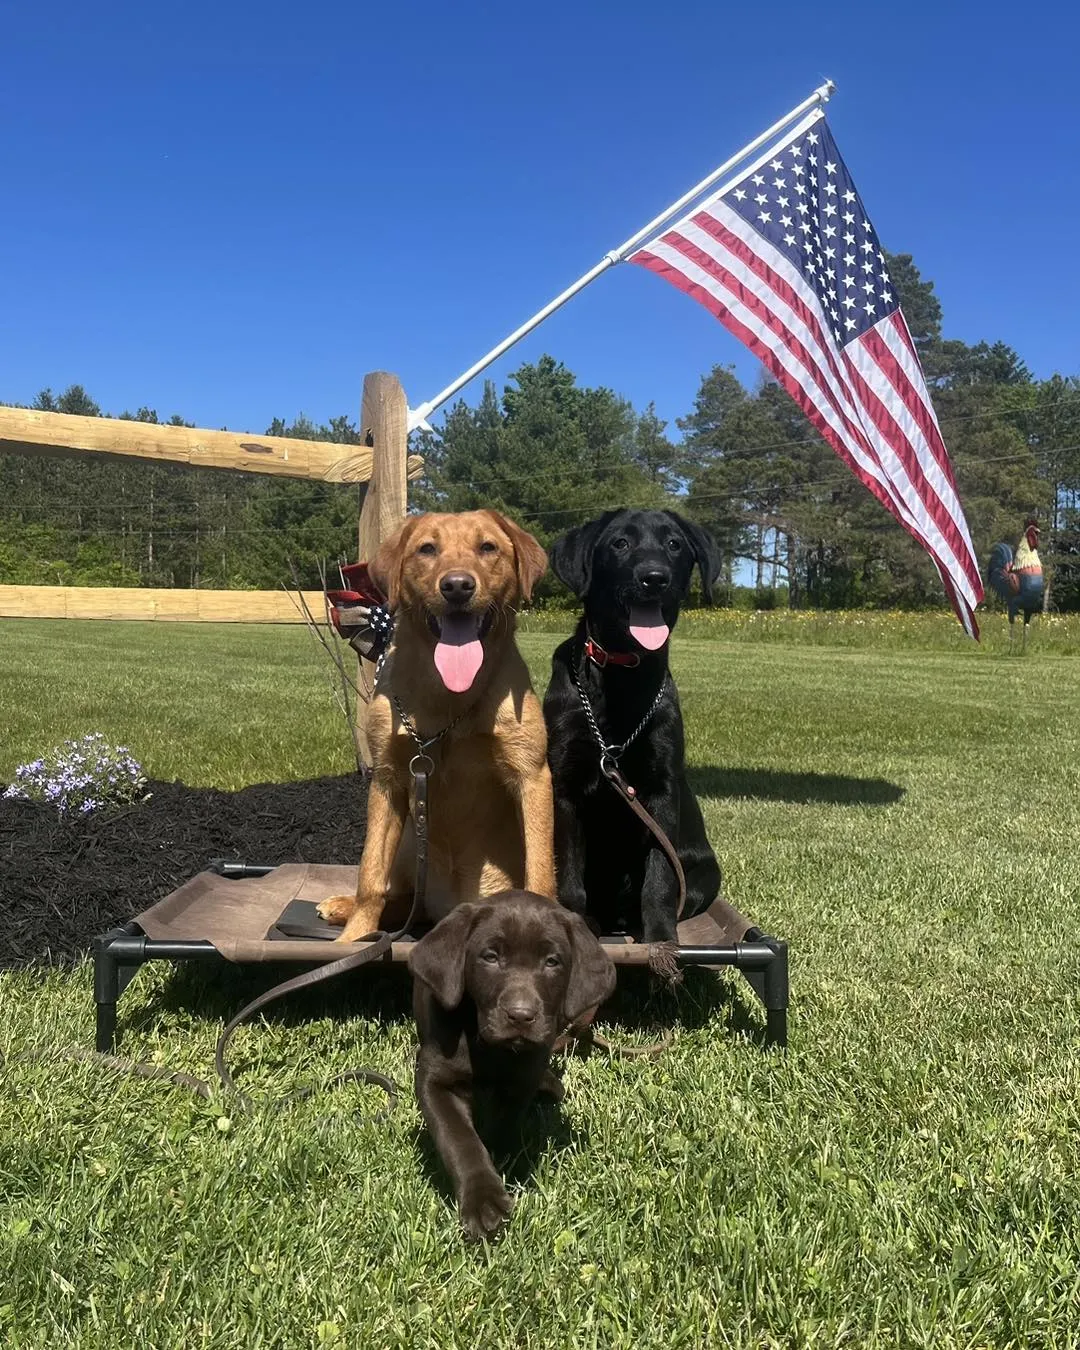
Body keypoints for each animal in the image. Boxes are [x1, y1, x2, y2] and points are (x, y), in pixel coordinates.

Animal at [410, 891, 615, 1236]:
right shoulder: (435, 1079)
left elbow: (506, 1120)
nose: (521, 1016)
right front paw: (483, 1199)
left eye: (552, 961)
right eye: (491, 957)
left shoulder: (524, 1077)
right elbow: (459, 1139)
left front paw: (503, 1158)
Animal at [545, 507, 723, 950]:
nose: (654, 577)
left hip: (706, 876)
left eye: (674, 544)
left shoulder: (660, 791)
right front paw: (574, 924)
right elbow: (569, 874)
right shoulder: (564, 787)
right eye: (620, 544)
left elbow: (659, 878)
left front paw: (661, 941)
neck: (622, 677)